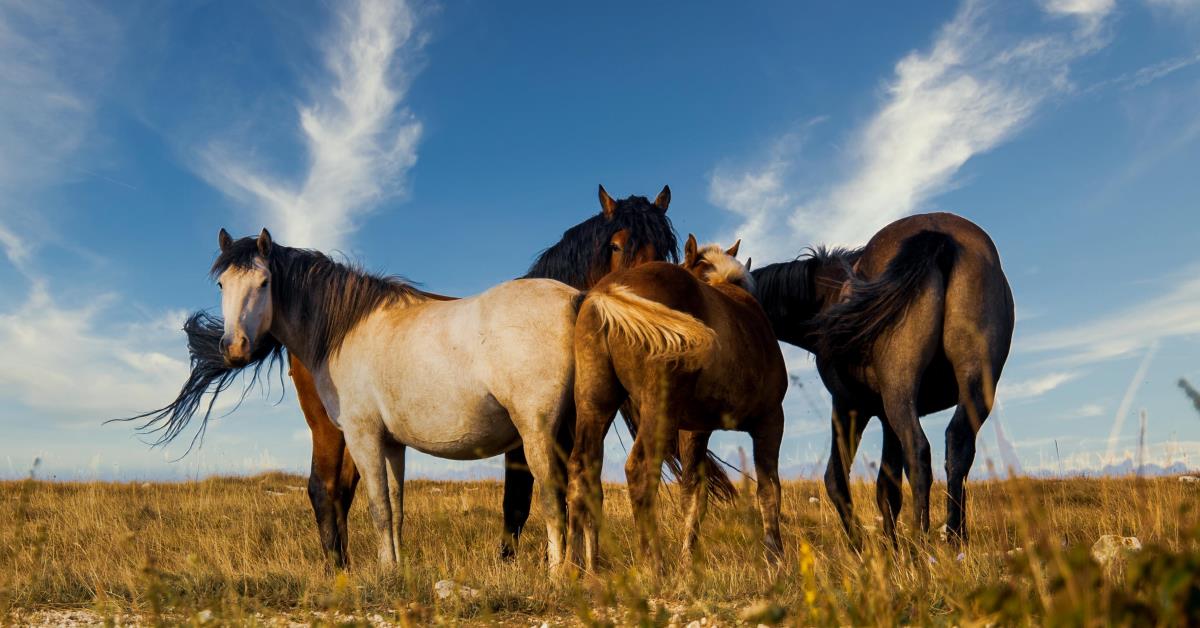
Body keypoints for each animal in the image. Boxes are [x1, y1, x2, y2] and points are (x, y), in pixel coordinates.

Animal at [565, 235, 788, 571]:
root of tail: (608, 291)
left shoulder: (695, 430)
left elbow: (693, 494)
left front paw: (688, 560)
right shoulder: (771, 420)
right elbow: (768, 489)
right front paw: (776, 560)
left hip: (594, 404)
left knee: (582, 471)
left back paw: (580, 567)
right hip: (658, 407)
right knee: (641, 470)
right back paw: (653, 564)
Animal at [749, 212, 1014, 546]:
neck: (827, 296)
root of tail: (937, 234)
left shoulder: (851, 405)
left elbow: (839, 479)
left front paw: (863, 545)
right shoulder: (884, 418)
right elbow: (887, 487)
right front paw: (889, 545)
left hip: (899, 392)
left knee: (918, 453)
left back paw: (919, 542)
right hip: (974, 387)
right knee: (958, 446)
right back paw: (955, 537)